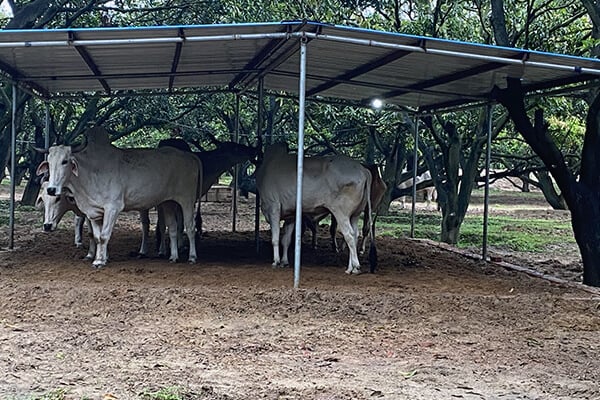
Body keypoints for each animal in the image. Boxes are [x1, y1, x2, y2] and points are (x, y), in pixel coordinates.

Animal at [36, 126, 203, 268]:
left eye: (65, 161)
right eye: (49, 162)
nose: (52, 189)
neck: (89, 172)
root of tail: (190, 157)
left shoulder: (112, 208)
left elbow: (104, 236)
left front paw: (100, 261)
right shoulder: (94, 212)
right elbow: (97, 236)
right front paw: (99, 258)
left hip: (187, 199)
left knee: (190, 227)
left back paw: (192, 257)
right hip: (168, 202)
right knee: (173, 227)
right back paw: (173, 256)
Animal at [256, 144, 372, 276]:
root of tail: (363, 170)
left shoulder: (273, 208)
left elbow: (275, 238)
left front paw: (276, 261)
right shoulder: (291, 216)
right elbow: (286, 240)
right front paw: (284, 262)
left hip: (341, 212)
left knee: (349, 235)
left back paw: (355, 267)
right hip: (355, 214)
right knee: (355, 234)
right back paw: (351, 267)